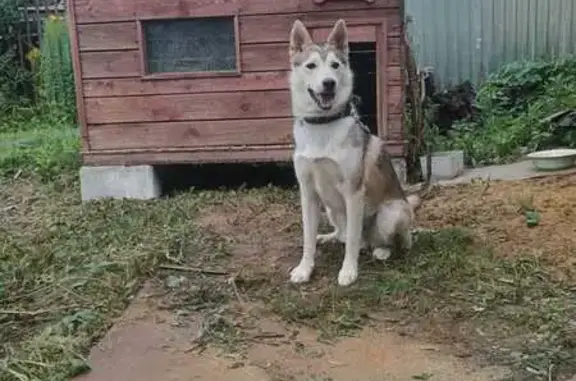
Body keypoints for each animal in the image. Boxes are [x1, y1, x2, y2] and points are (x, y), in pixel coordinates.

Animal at [288, 18, 418, 284]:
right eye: (311, 66)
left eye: (335, 65)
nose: (329, 82)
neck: (322, 125)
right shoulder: (308, 193)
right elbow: (307, 239)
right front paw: (305, 268)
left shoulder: (353, 192)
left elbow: (351, 243)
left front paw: (348, 271)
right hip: (329, 207)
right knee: (342, 234)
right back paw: (329, 237)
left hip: (393, 213)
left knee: (391, 242)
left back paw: (381, 250)